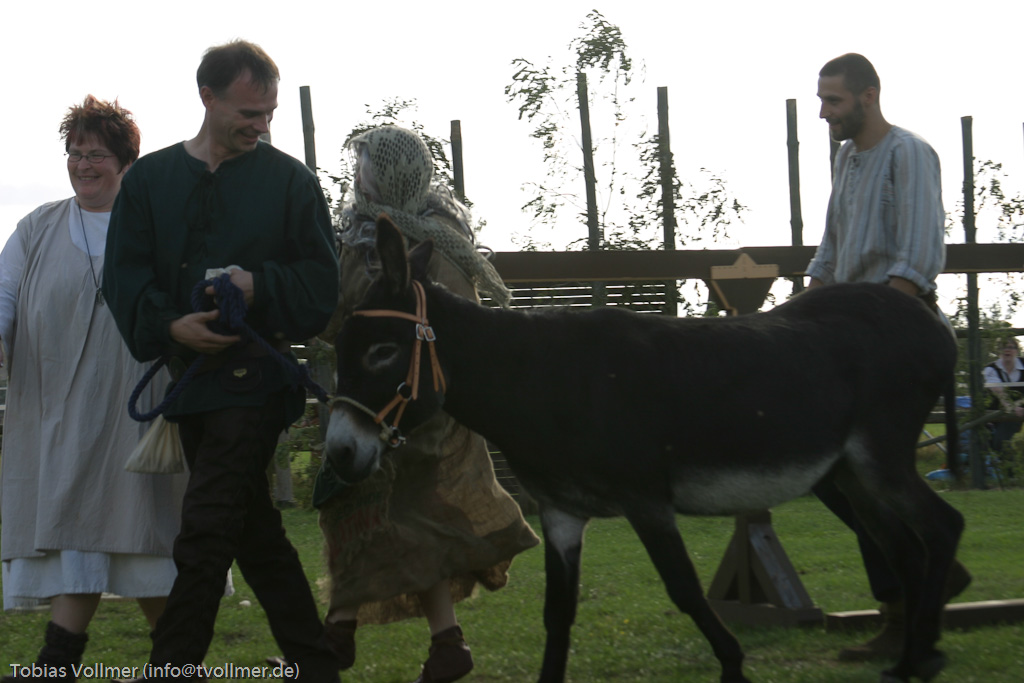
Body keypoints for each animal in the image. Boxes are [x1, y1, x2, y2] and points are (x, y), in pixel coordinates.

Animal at [324, 215, 963, 683]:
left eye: (382, 352)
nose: (339, 455)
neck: (544, 379)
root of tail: (929, 318)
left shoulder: (646, 501)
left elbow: (685, 590)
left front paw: (733, 665)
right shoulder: (561, 513)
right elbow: (558, 613)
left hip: (880, 456)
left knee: (941, 528)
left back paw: (922, 656)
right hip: (852, 471)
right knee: (906, 550)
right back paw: (911, 659)